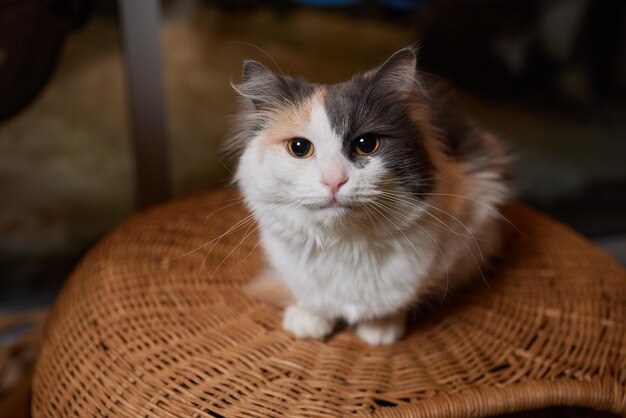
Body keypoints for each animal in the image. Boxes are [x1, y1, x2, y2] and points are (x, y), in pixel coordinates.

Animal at [227, 45, 510, 346]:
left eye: (366, 144)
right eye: (300, 148)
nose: (334, 181)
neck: (344, 244)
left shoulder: (469, 228)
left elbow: (402, 298)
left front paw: (380, 328)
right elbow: (308, 296)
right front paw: (310, 320)